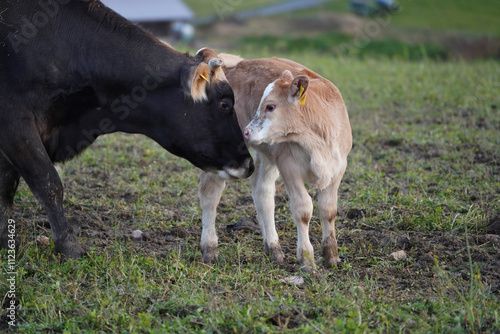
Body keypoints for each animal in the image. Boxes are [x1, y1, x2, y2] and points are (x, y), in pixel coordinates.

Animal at [0, 0, 254, 258]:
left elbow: (7, 185)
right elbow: (48, 183)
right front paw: (69, 246)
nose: (248, 164)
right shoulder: (15, 121)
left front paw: (6, 239)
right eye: (225, 104)